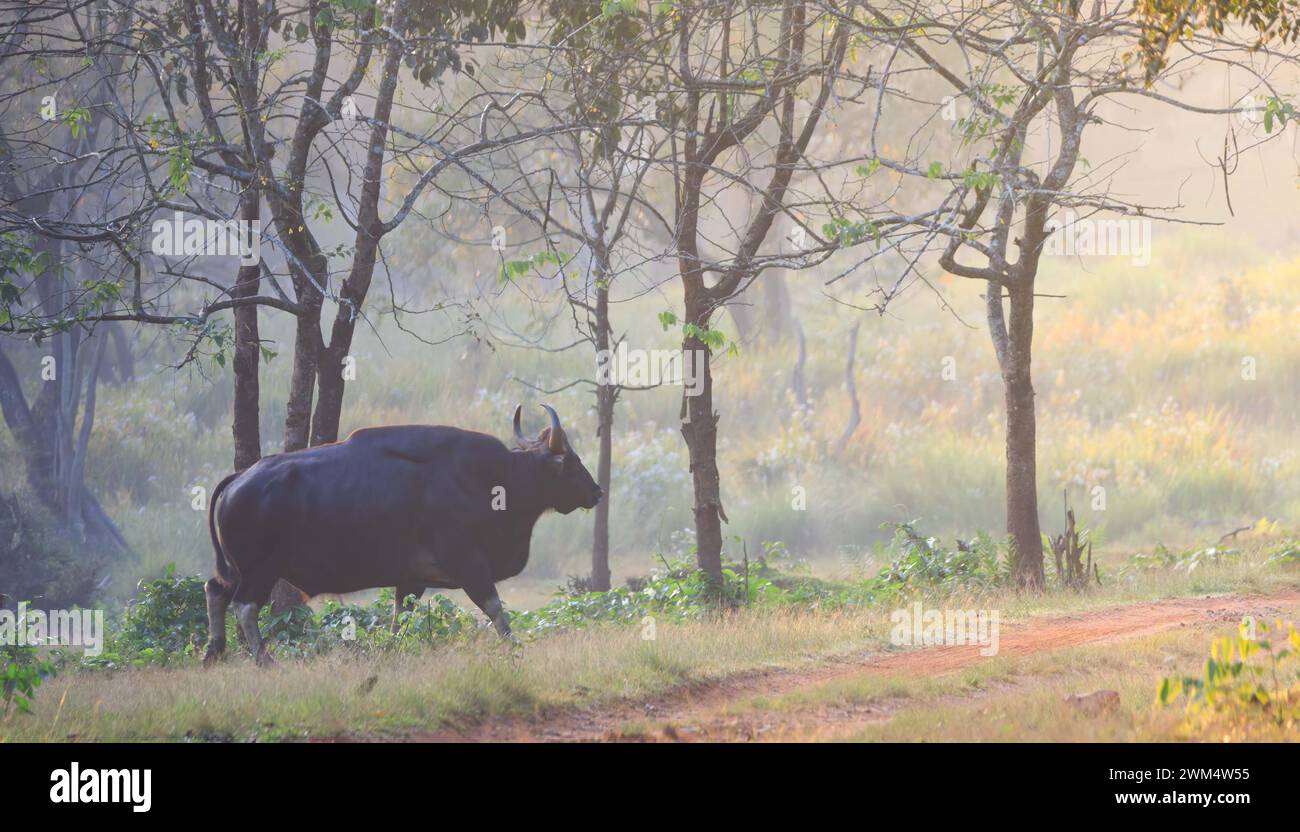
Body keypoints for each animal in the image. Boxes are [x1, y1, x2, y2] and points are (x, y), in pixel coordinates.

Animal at [204, 405, 603, 665]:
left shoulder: (412, 579)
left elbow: (400, 617)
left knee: (215, 590)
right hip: (259, 570)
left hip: (236, 569)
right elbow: (495, 609)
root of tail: (239, 478)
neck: (494, 481)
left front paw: (390, 649)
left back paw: (214, 652)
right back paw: (263, 658)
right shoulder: (470, 565)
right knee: (244, 605)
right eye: (571, 461)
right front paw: (514, 645)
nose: (596, 491)